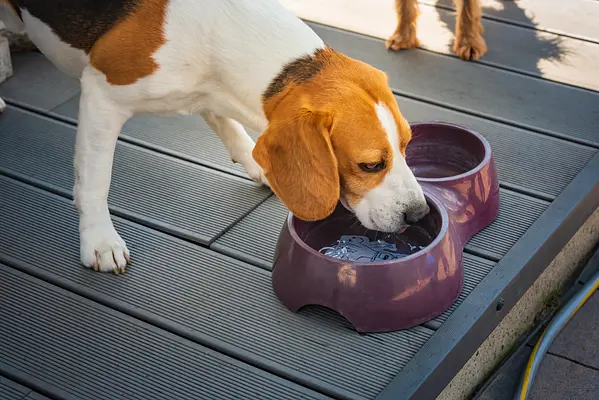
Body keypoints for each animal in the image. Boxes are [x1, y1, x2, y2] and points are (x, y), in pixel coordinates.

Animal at [1, 0, 432, 276]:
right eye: (370, 165)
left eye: (407, 146)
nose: (418, 214)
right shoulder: (102, 94)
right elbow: (94, 182)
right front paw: (99, 239)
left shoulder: (210, 93)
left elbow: (234, 131)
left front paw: (261, 168)